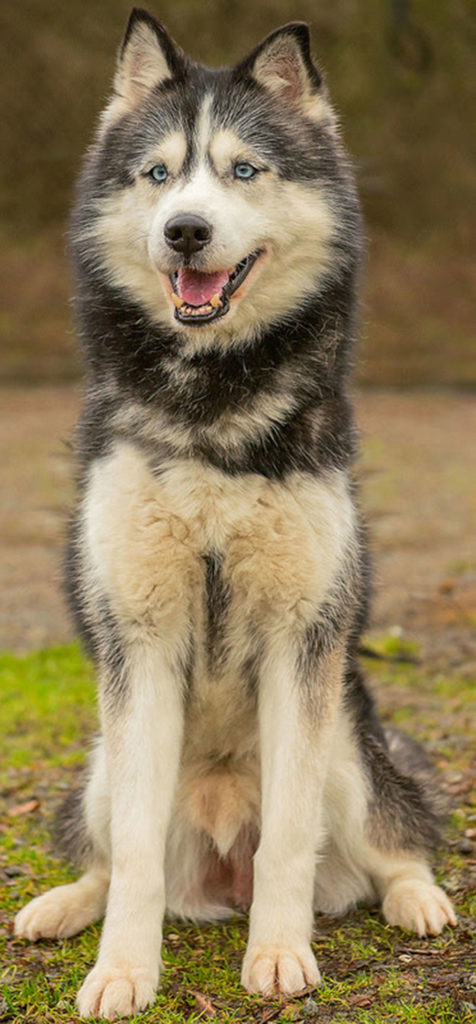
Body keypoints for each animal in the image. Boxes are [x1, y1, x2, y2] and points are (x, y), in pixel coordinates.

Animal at [13, 8, 456, 1015]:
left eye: (244, 170)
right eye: (159, 174)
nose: (185, 230)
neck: (212, 406)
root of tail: (222, 863)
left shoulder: (303, 639)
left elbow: (292, 837)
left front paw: (281, 957)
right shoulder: (136, 640)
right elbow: (136, 857)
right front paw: (122, 972)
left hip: (346, 747)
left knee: (391, 842)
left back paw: (418, 898)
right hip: (103, 762)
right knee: (107, 855)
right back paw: (62, 904)